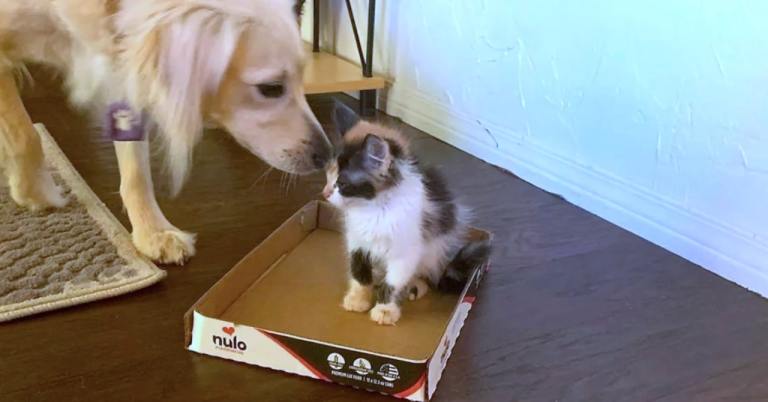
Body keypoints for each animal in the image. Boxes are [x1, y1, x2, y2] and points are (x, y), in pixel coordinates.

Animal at [0, 0, 330, 264]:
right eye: (270, 88)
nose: (326, 156)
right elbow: (25, 136)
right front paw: (35, 191)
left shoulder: (127, 68)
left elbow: (137, 171)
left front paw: (153, 231)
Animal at [320, 102, 488, 326]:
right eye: (328, 176)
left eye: (343, 184)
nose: (324, 193)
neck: (372, 208)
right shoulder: (356, 241)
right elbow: (359, 271)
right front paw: (358, 298)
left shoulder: (406, 251)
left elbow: (394, 281)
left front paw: (385, 309)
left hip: (434, 250)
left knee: (424, 274)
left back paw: (415, 286)